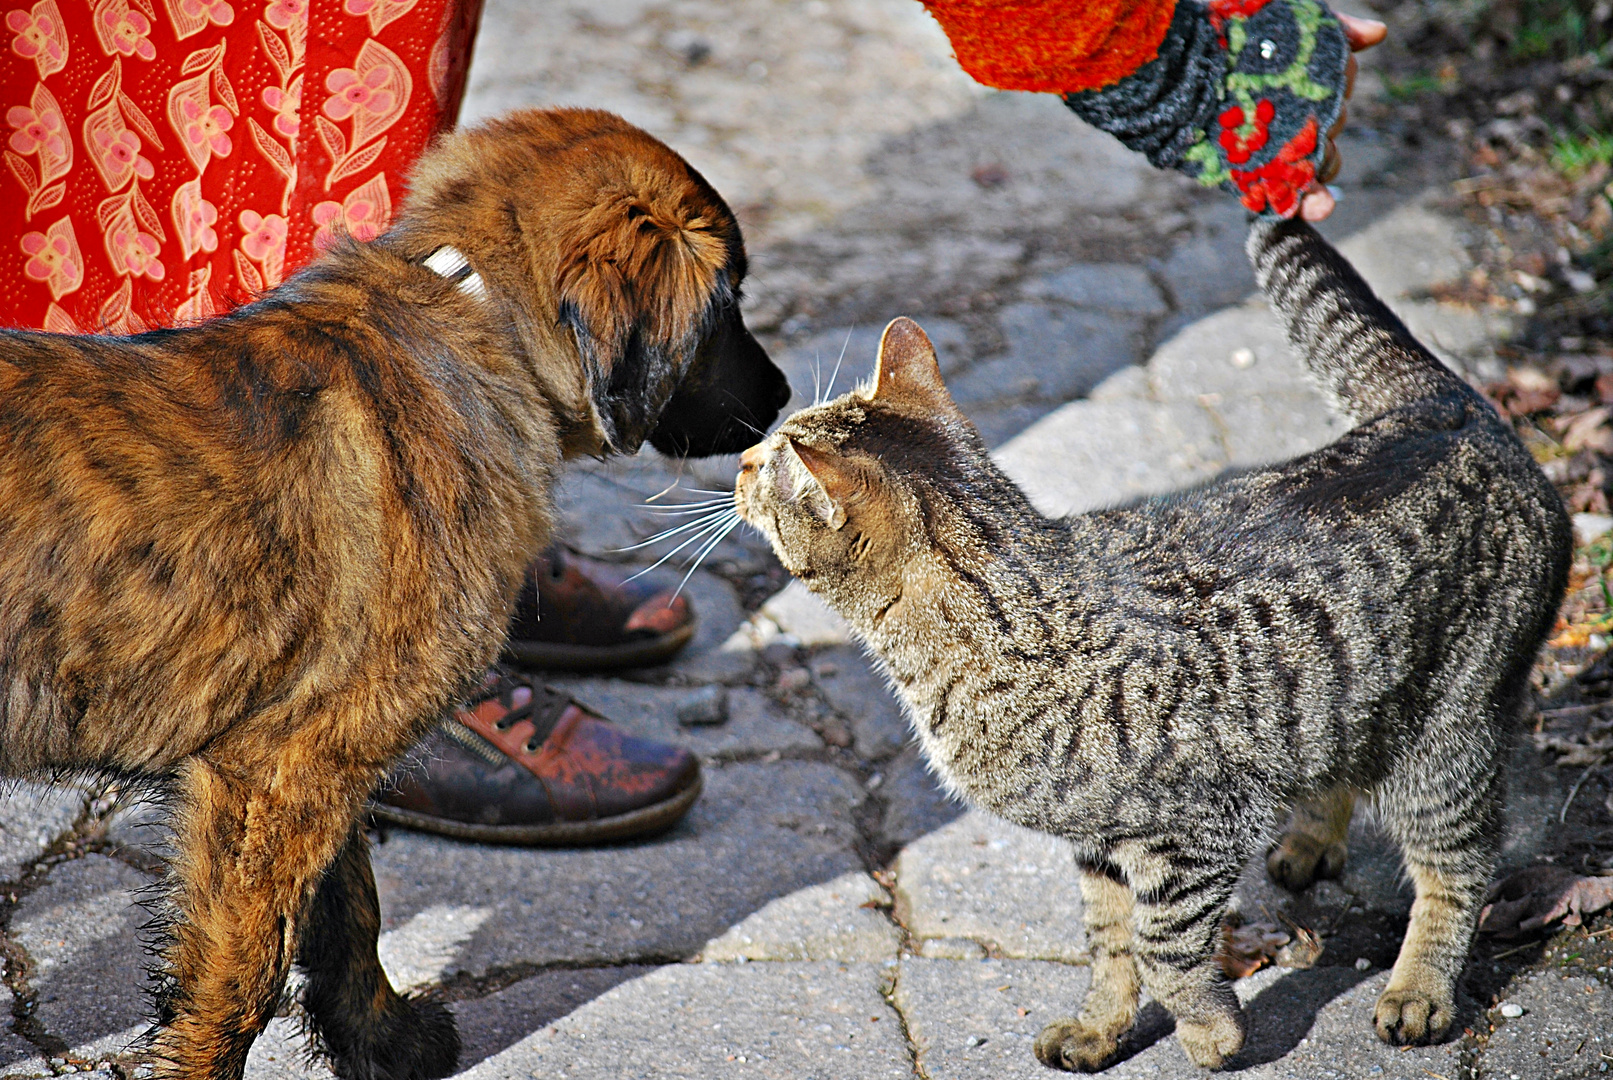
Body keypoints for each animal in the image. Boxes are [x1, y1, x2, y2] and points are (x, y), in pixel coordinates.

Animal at [0, 103, 787, 1080]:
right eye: (728, 304)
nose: (782, 394)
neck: (478, 315)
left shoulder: (317, 749)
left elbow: (347, 910)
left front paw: (385, 1040)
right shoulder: (282, 766)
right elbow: (244, 970)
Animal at [738, 219, 1567, 1076]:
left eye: (768, 466)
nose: (737, 461)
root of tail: (1449, 404)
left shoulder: (1198, 829)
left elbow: (1161, 946)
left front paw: (1209, 1032)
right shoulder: (1097, 843)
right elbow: (1108, 945)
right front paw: (1099, 1026)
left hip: (1446, 738)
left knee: (1455, 869)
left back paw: (1418, 988)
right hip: (1349, 702)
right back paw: (1311, 840)